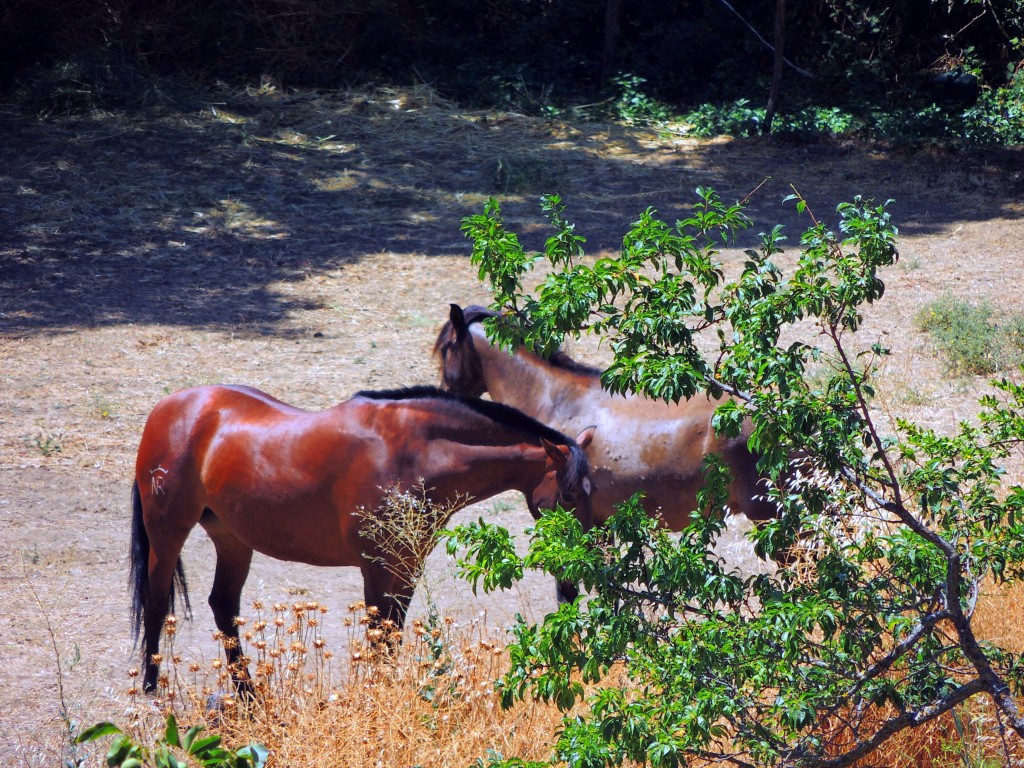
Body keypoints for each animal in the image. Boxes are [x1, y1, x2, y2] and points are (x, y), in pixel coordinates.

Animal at [129, 385, 598, 692]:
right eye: (569, 495)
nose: (575, 577)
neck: (414, 453)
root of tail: (170, 409)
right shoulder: (376, 566)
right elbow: (378, 634)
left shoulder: (407, 566)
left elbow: (393, 634)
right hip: (168, 532)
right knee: (156, 599)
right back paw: (152, 685)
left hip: (233, 539)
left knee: (223, 607)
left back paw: (248, 694)